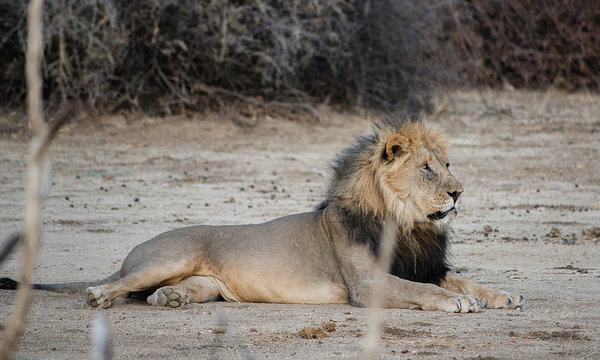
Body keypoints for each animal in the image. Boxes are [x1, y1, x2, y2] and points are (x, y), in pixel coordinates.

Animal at [0, 113, 524, 312]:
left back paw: (171, 299)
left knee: (156, 293)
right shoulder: (367, 282)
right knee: (118, 284)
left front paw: (503, 295)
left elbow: (464, 280)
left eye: (447, 165)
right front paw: (458, 303)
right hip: (167, 256)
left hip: (204, 282)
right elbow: (422, 291)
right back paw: (99, 296)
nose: (459, 193)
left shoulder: (425, 264)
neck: (409, 225)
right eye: (427, 169)